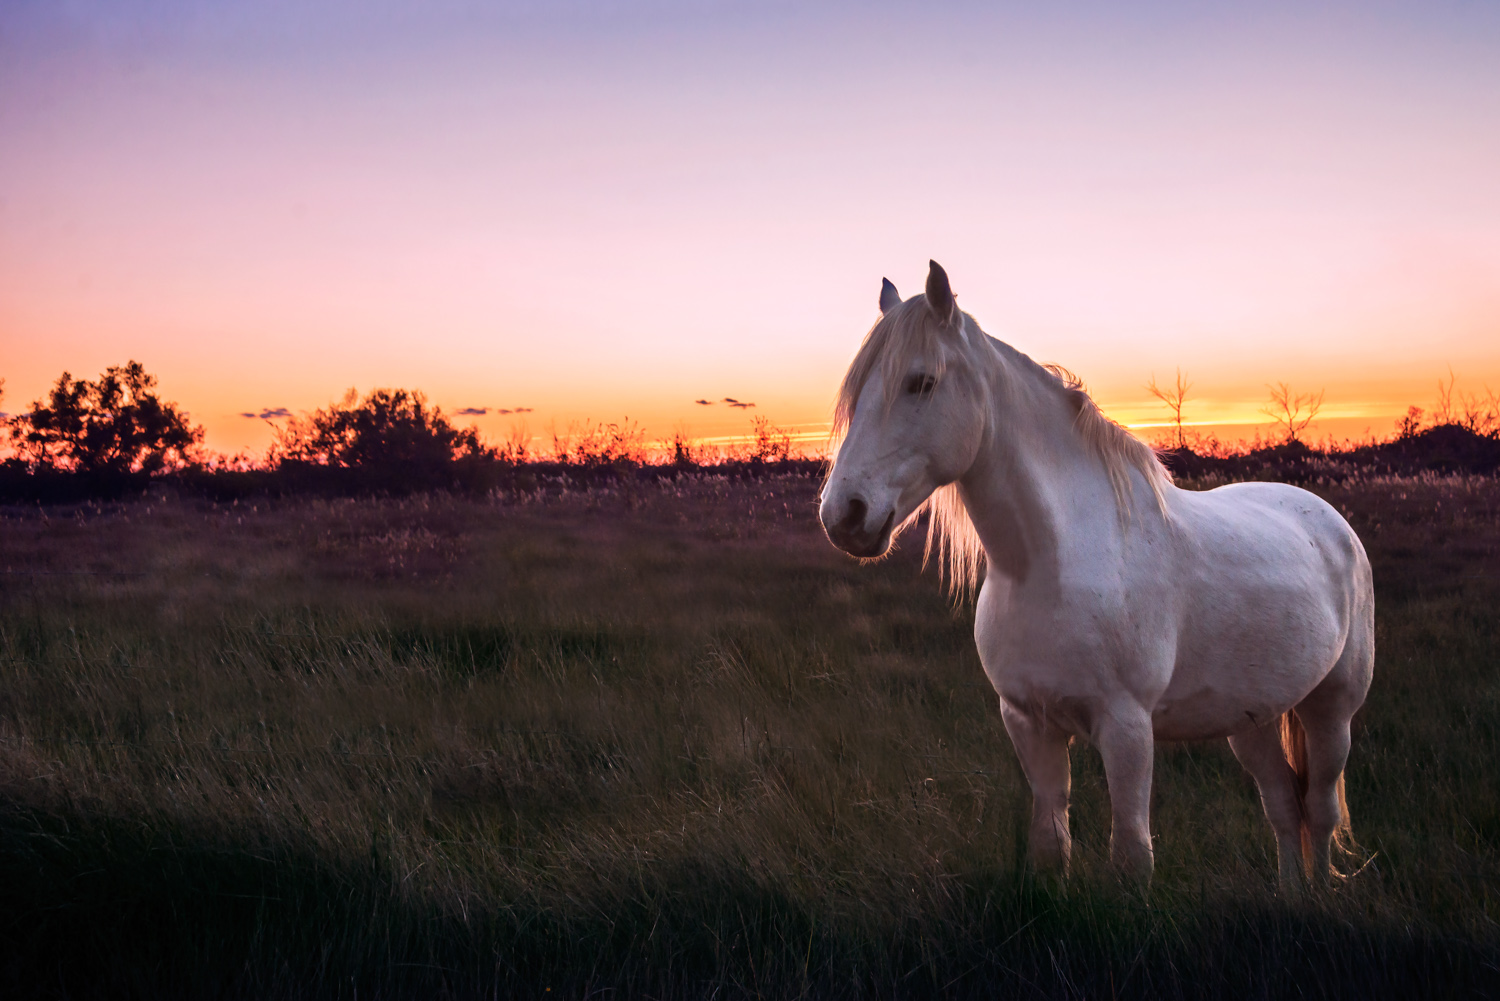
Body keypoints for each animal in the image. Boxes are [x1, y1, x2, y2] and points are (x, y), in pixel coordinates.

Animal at [822, 262, 1374, 888]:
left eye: (921, 382)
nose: (844, 516)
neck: (1051, 565)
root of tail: (1329, 519)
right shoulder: (1029, 723)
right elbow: (1049, 844)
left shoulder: (1127, 727)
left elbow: (1131, 853)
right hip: (1252, 717)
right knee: (1283, 804)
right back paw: (1292, 896)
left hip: (1331, 708)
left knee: (1320, 810)